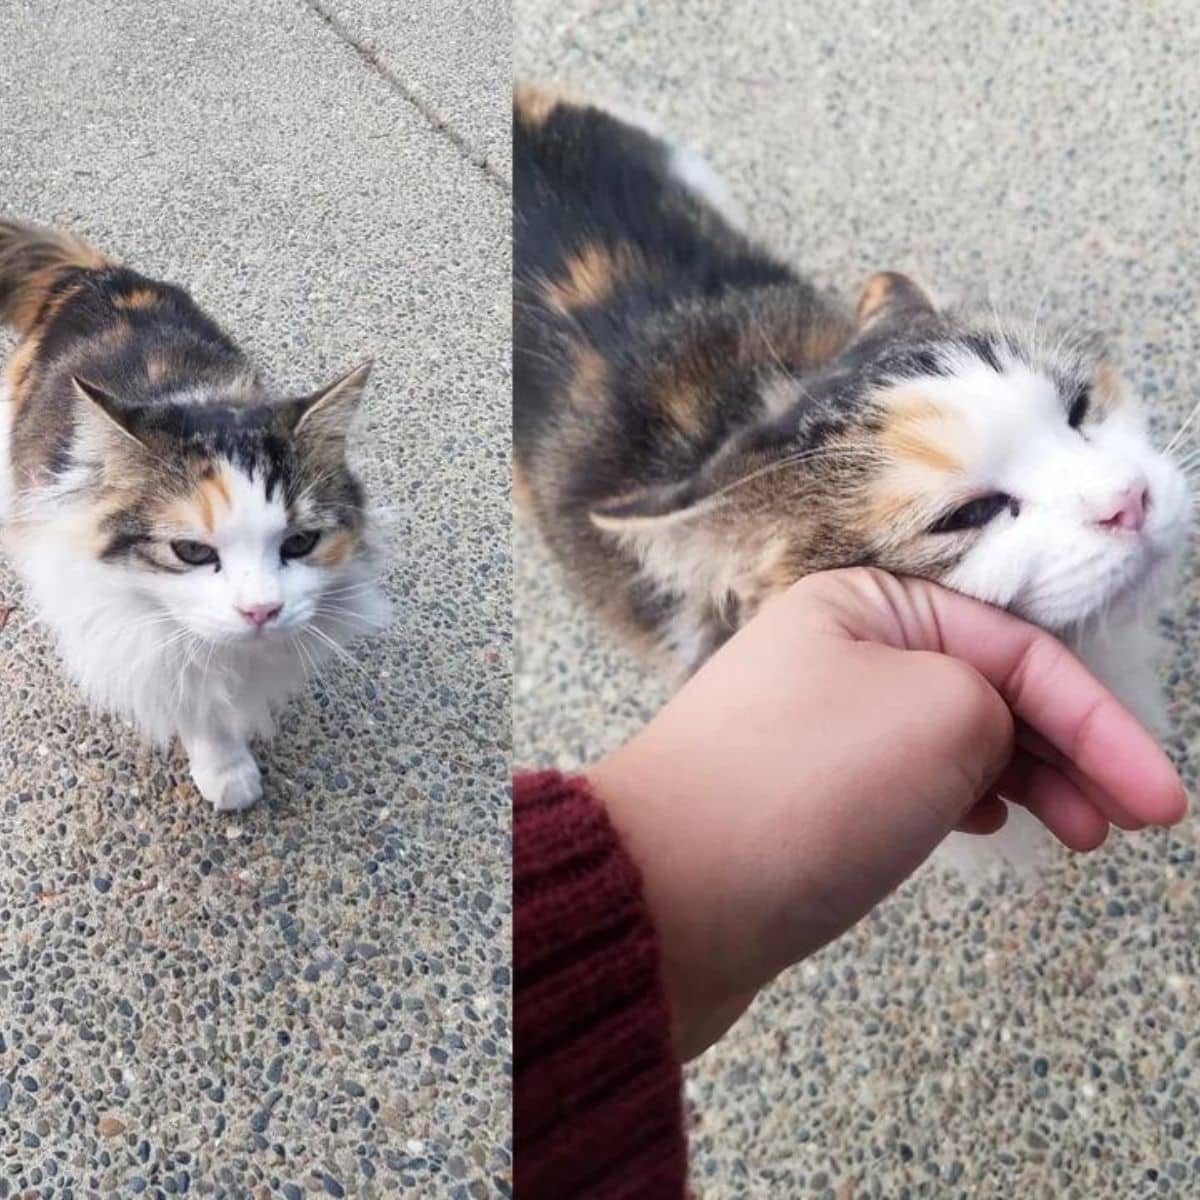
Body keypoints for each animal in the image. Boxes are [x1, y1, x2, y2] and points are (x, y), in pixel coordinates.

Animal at [0, 220, 388, 811]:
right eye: (191, 552)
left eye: (300, 543)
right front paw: (226, 771)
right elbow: (190, 691)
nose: (261, 611)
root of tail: (98, 275)